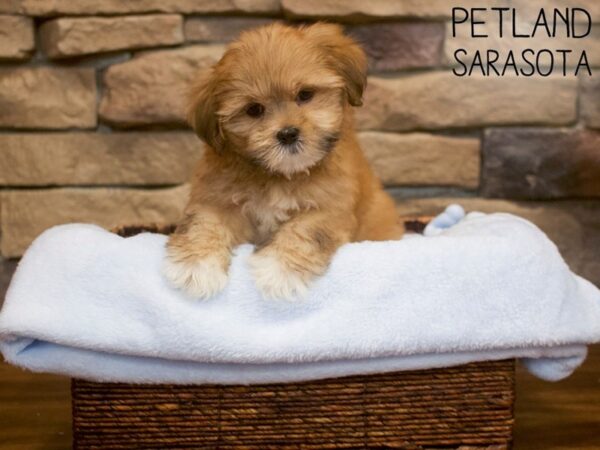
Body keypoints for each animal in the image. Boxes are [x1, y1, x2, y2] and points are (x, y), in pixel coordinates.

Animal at [164, 22, 403, 300]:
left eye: (305, 94)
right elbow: (202, 224)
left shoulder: (331, 208)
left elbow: (304, 230)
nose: (288, 133)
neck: (279, 174)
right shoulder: (215, 199)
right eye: (254, 110)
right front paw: (195, 267)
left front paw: (279, 272)